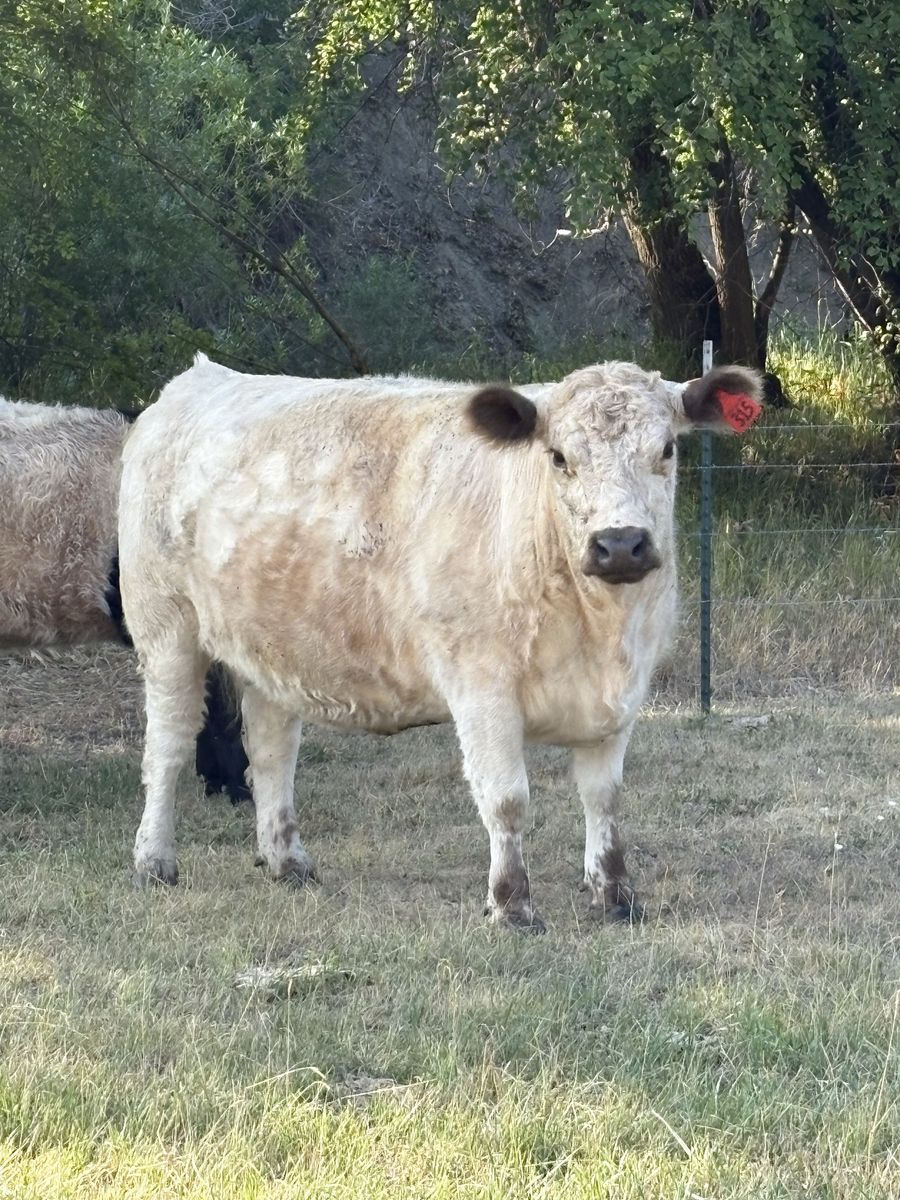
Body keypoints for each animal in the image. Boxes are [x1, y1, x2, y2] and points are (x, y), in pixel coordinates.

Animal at [119, 354, 761, 928]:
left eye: (668, 449)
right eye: (559, 457)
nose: (621, 544)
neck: (599, 632)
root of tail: (199, 377)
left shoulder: (622, 695)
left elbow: (604, 797)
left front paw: (616, 896)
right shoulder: (480, 686)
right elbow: (506, 798)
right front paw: (512, 905)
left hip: (270, 646)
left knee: (272, 750)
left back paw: (287, 861)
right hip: (167, 631)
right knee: (168, 747)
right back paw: (154, 861)